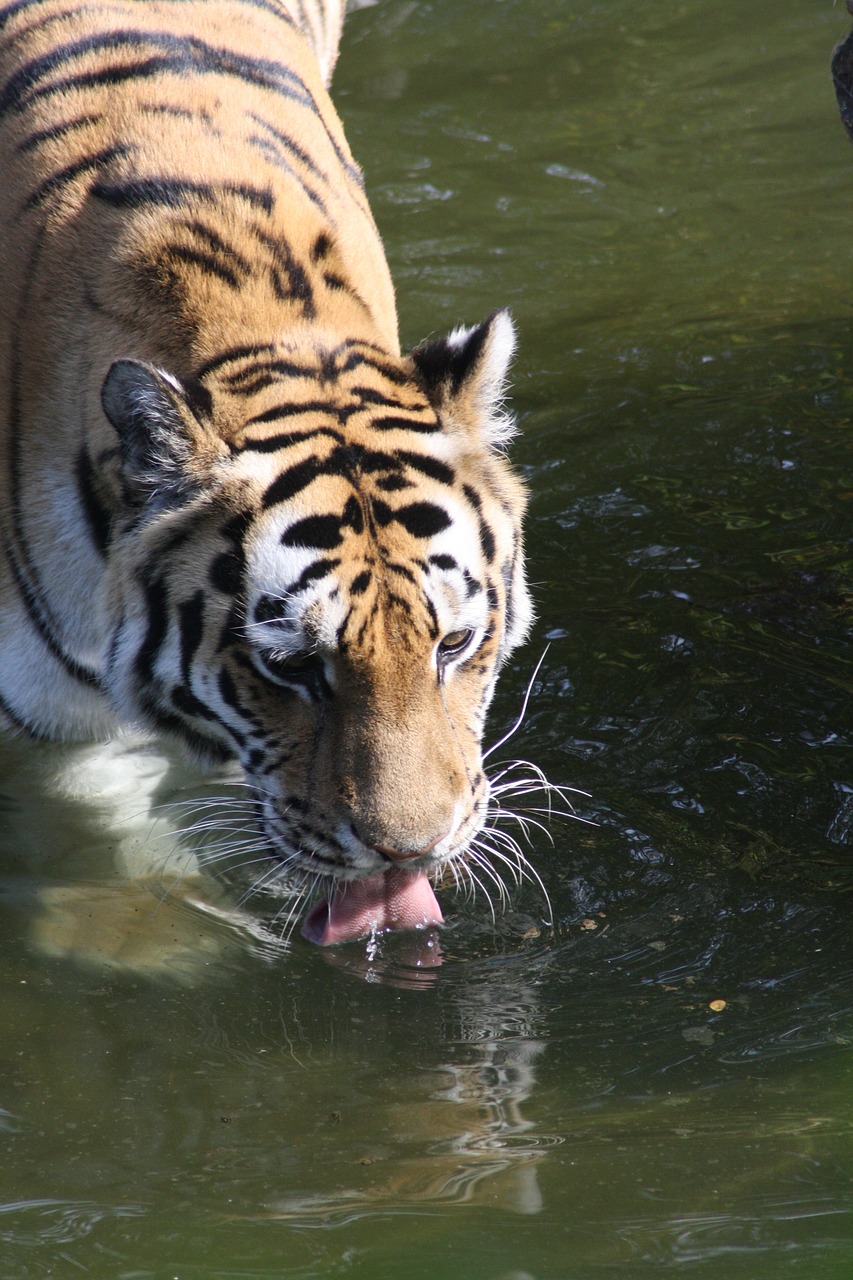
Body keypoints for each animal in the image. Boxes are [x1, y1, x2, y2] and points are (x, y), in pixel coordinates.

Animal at [0, 0, 532, 947]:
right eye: (289, 666)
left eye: (454, 645)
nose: (410, 854)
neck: (267, 331)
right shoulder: (56, 723)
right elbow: (98, 832)